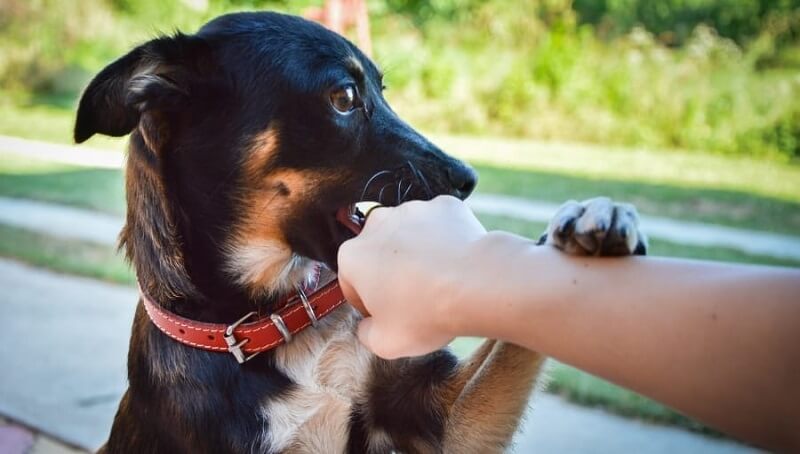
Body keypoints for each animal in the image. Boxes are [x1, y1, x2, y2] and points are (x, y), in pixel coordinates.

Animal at [75, 11, 648, 454]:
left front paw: (590, 217)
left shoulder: (450, 422)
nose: (467, 178)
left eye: (382, 90)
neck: (280, 319)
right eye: (346, 96)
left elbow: (513, 340)